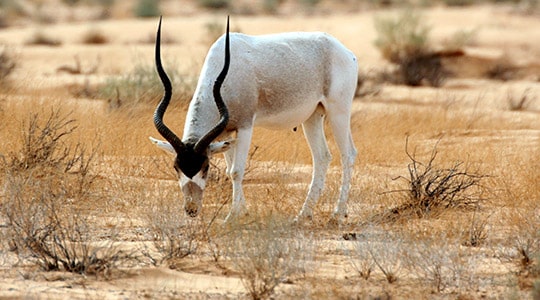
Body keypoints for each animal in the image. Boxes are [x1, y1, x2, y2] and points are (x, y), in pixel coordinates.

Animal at [150, 16, 358, 223]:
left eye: (205, 166)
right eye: (176, 167)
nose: (191, 209)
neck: (226, 72)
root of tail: (346, 53)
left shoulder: (245, 126)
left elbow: (236, 171)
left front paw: (231, 216)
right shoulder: (226, 133)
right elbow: (229, 171)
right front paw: (243, 212)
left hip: (338, 111)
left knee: (347, 155)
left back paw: (338, 214)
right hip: (312, 117)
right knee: (322, 156)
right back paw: (303, 215)